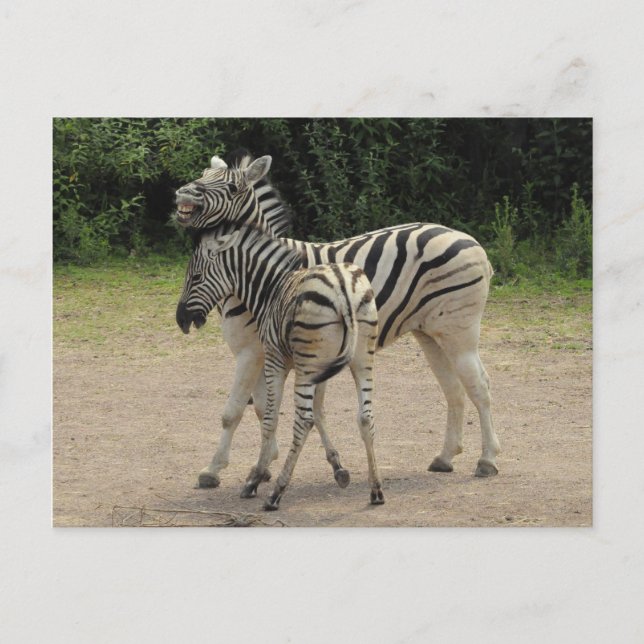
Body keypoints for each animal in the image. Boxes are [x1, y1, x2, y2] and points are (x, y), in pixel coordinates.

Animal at [183, 223, 383, 510]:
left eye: (197, 277)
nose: (182, 319)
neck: (269, 289)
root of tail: (343, 287)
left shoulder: (275, 360)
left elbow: (269, 418)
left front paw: (255, 478)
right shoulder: (323, 368)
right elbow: (319, 413)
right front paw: (338, 467)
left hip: (307, 366)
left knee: (302, 421)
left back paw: (276, 493)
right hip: (361, 358)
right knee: (365, 417)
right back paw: (376, 489)